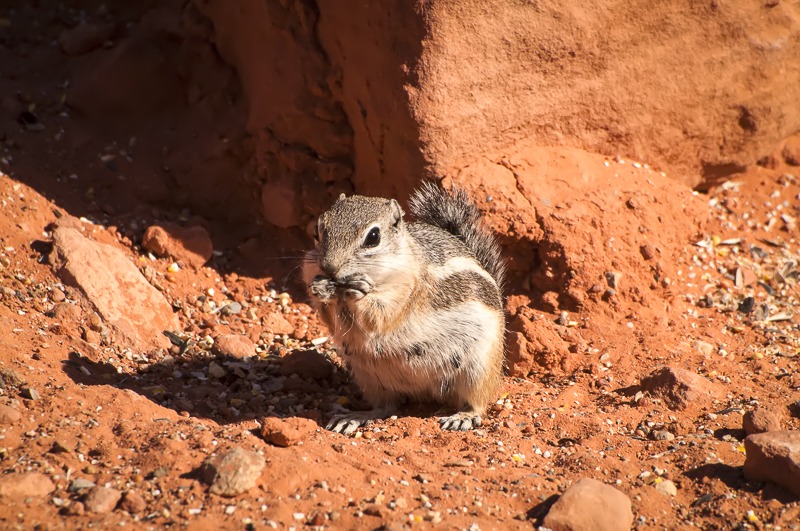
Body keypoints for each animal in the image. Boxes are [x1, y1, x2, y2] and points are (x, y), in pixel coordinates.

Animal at [302, 182, 506, 435]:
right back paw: (355, 417)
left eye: (373, 237)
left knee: (477, 403)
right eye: (318, 230)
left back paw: (463, 417)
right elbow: (328, 317)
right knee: (386, 407)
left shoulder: (407, 289)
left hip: (479, 369)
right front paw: (319, 289)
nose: (329, 267)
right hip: (371, 379)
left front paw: (360, 292)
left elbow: (382, 315)